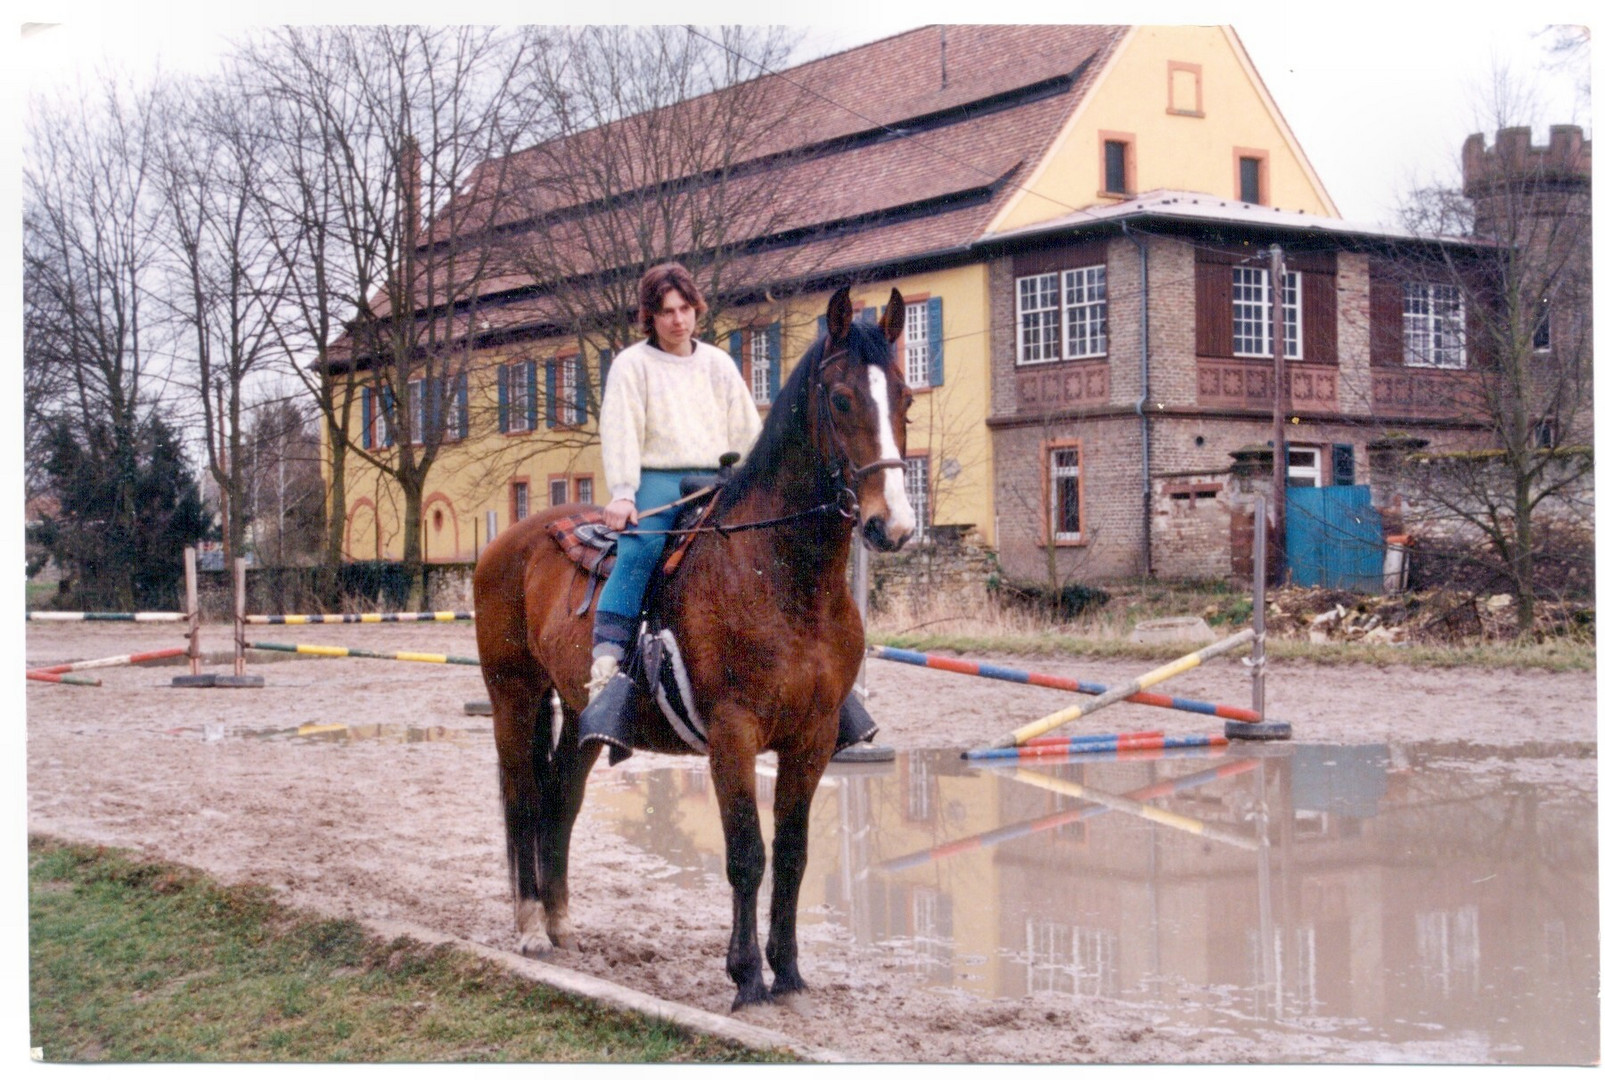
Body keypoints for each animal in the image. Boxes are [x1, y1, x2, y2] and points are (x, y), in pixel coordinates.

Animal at [468, 282, 911, 1007]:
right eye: (843, 399)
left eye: (903, 397)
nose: (891, 525)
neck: (778, 574)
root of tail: (511, 541)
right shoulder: (733, 733)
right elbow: (747, 855)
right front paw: (747, 977)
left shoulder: (813, 737)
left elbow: (793, 854)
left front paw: (789, 973)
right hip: (514, 696)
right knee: (524, 797)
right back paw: (531, 926)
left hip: (580, 714)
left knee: (561, 797)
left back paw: (560, 923)